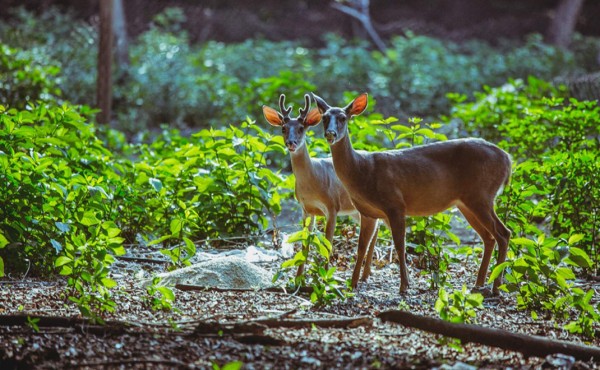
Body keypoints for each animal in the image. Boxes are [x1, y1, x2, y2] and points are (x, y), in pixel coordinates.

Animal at [262, 94, 378, 278]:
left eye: (301, 128)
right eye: (283, 128)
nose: (291, 143)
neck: (312, 184)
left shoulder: (332, 206)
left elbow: (327, 243)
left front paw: (323, 276)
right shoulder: (306, 209)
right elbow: (304, 243)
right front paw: (298, 277)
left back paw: (365, 273)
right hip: (354, 211)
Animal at [312, 92, 512, 294]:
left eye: (343, 118)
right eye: (324, 118)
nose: (330, 134)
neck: (362, 170)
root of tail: (507, 159)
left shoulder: (395, 204)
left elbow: (400, 245)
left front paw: (404, 286)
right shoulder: (368, 213)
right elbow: (361, 248)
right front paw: (352, 285)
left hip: (481, 195)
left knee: (504, 233)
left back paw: (496, 286)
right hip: (467, 202)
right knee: (489, 237)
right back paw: (479, 284)